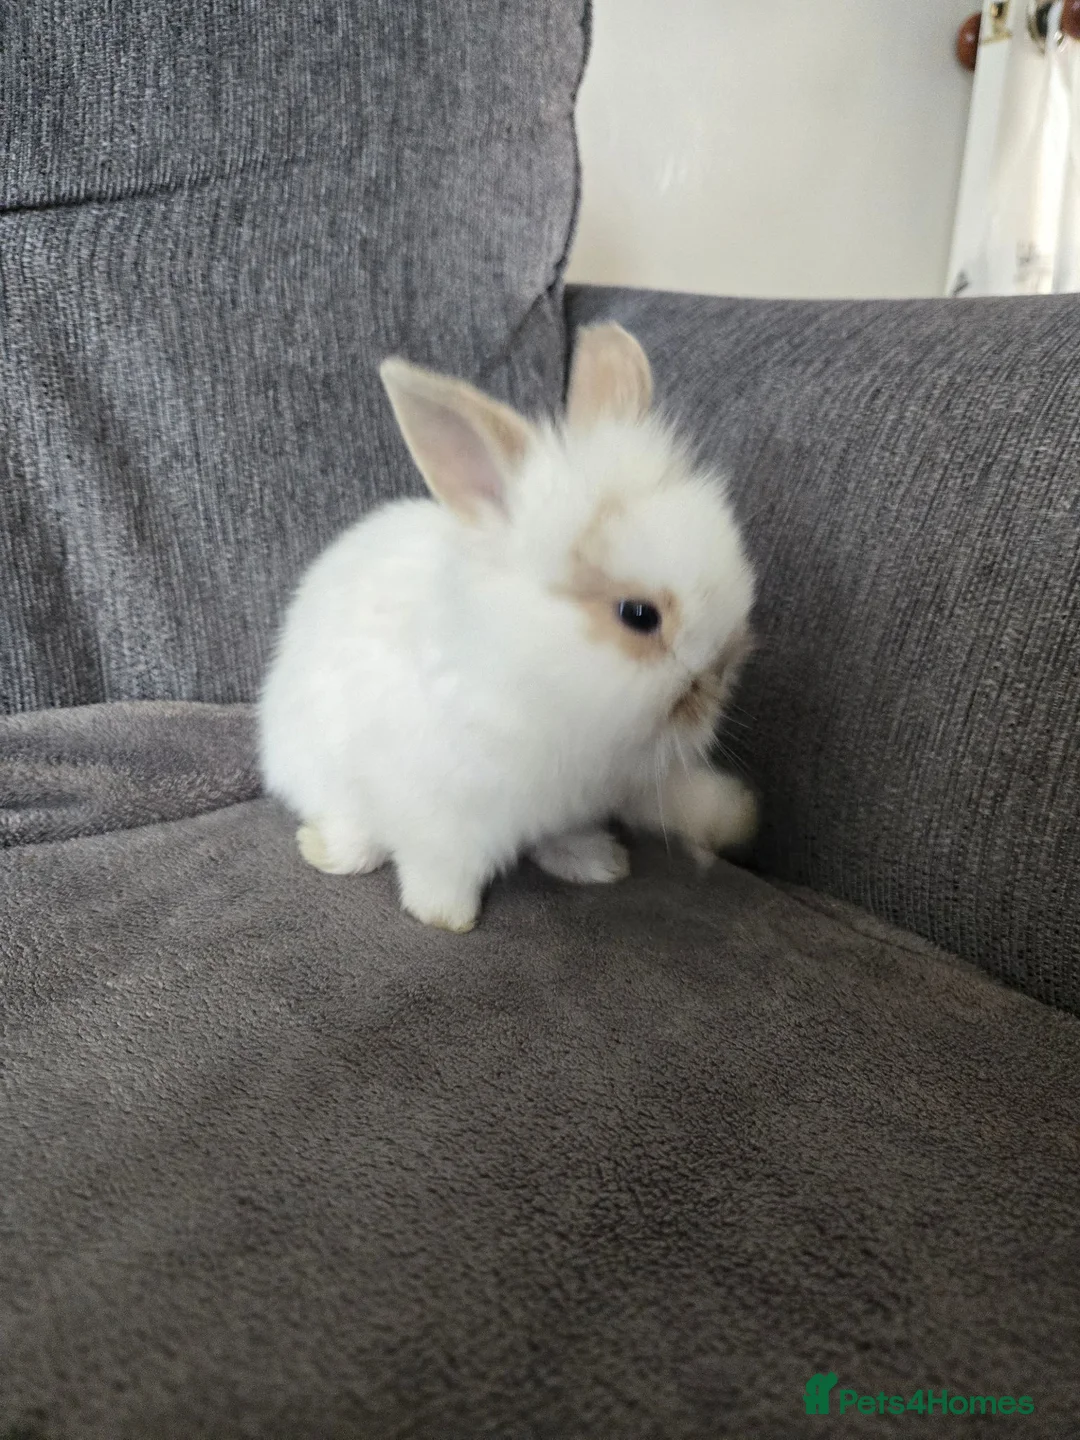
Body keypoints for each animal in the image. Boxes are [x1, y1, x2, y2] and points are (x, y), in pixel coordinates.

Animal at [258, 323, 757, 932]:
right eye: (639, 616)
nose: (718, 676)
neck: (525, 673)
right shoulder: (437, 813)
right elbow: (439, 865)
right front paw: (445, 916)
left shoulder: (584, 797)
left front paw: (603, 861)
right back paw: (328, 849)